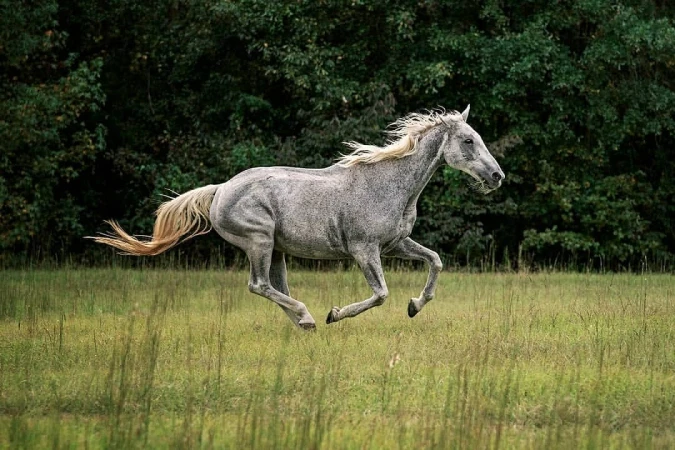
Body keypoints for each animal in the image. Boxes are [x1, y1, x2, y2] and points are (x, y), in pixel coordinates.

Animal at [90, 105, 504, 330]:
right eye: (468, 140)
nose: (497, 176)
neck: (389, 184)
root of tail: (220, 189)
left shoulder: (395, 244)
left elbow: (435, 261)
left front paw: (415, 306)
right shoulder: (365, 250)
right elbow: (381, 294)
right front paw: (335, 314)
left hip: (276, 250)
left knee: (276, 287)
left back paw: (303, 323)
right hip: (259, 241)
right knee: (259, 285)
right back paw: (308, 317)